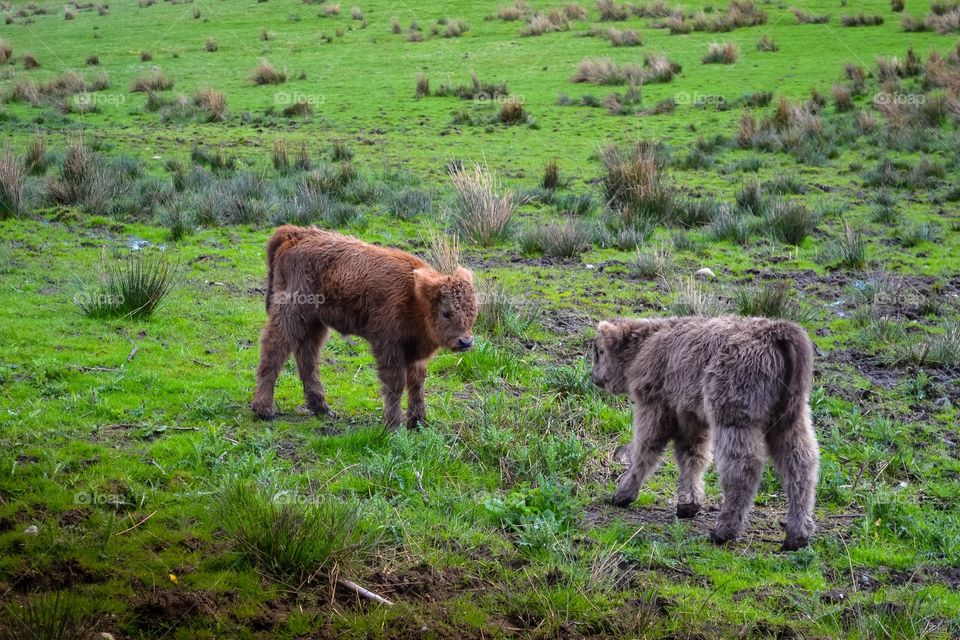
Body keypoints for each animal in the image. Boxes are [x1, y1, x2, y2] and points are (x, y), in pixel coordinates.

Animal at [251, 225, 476, 430]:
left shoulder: (414, 352)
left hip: (314, 322)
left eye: (473, 310)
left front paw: (418, 422)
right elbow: (395, 384)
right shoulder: (388, 347)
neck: (415, 296)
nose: (465, 342)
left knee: (307, 358)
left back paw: (322, 408)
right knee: (274, 351)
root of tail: (296, 234)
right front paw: (394, 425)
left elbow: (417, 383)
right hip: (290, 314)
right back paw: (264, 410)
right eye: (446, 312)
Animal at [592, 316, 816, 552]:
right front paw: (688, 504)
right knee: (801, 464)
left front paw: (623, 494)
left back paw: (724, 531)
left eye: (599, 351)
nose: (594, 377)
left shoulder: (656, 408)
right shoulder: (690, 417)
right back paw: (797, 536)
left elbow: (646, 451)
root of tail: (775, 332)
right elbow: (692, 457)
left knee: (743, 468)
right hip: (790, 419)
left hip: (734, 416)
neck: (647, 343)